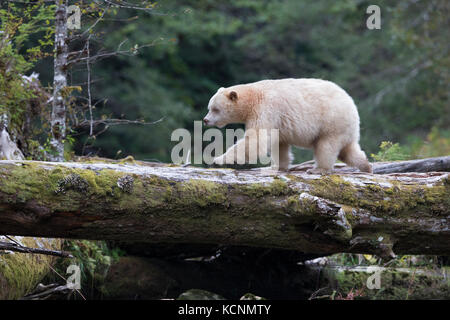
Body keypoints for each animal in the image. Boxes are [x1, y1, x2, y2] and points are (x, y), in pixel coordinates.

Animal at [204, 79, 372, 174]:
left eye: (215, 109)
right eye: (209, 107)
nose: (205, 120)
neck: (253, 96)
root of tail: (353, 108)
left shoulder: (266, 109)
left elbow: (256, 140)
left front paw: (218, 160)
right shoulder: (278, 120)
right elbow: (279, 144)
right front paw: (275, 167)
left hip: (331, 121)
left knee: (326, 146)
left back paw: (318, 169)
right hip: (342, 127)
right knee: (348, 151)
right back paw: (366, 166)